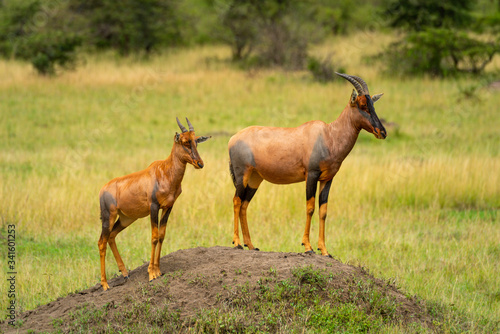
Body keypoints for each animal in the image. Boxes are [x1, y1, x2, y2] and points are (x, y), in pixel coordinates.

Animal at [98, 117, 210, 290]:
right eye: (185, 141)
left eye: (196, 141)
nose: (200, 163)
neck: (165, 171)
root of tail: (103, 189)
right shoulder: (153, 207)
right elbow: (154, 237)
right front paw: (151, 274)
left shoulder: (168, 207)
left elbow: (162, 236)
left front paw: (158, 270)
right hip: (108, 217)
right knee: (101, 242)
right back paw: (105, 284)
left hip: (126, 219)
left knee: (111, 236)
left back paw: (125, 273)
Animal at [229, 72, 388, 256]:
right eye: (362, 105)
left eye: (372, 105)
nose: (382, 132)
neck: (328, 135)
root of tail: (232, 139)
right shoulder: (311, 175)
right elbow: (310, 207)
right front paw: (308, 247)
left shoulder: (327, 179)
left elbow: (323, 211)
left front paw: (324, 250)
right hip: (242, 174)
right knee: (236, 201)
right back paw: (237, 243)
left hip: (255, 178)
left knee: (244, 205)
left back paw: (251, 245)